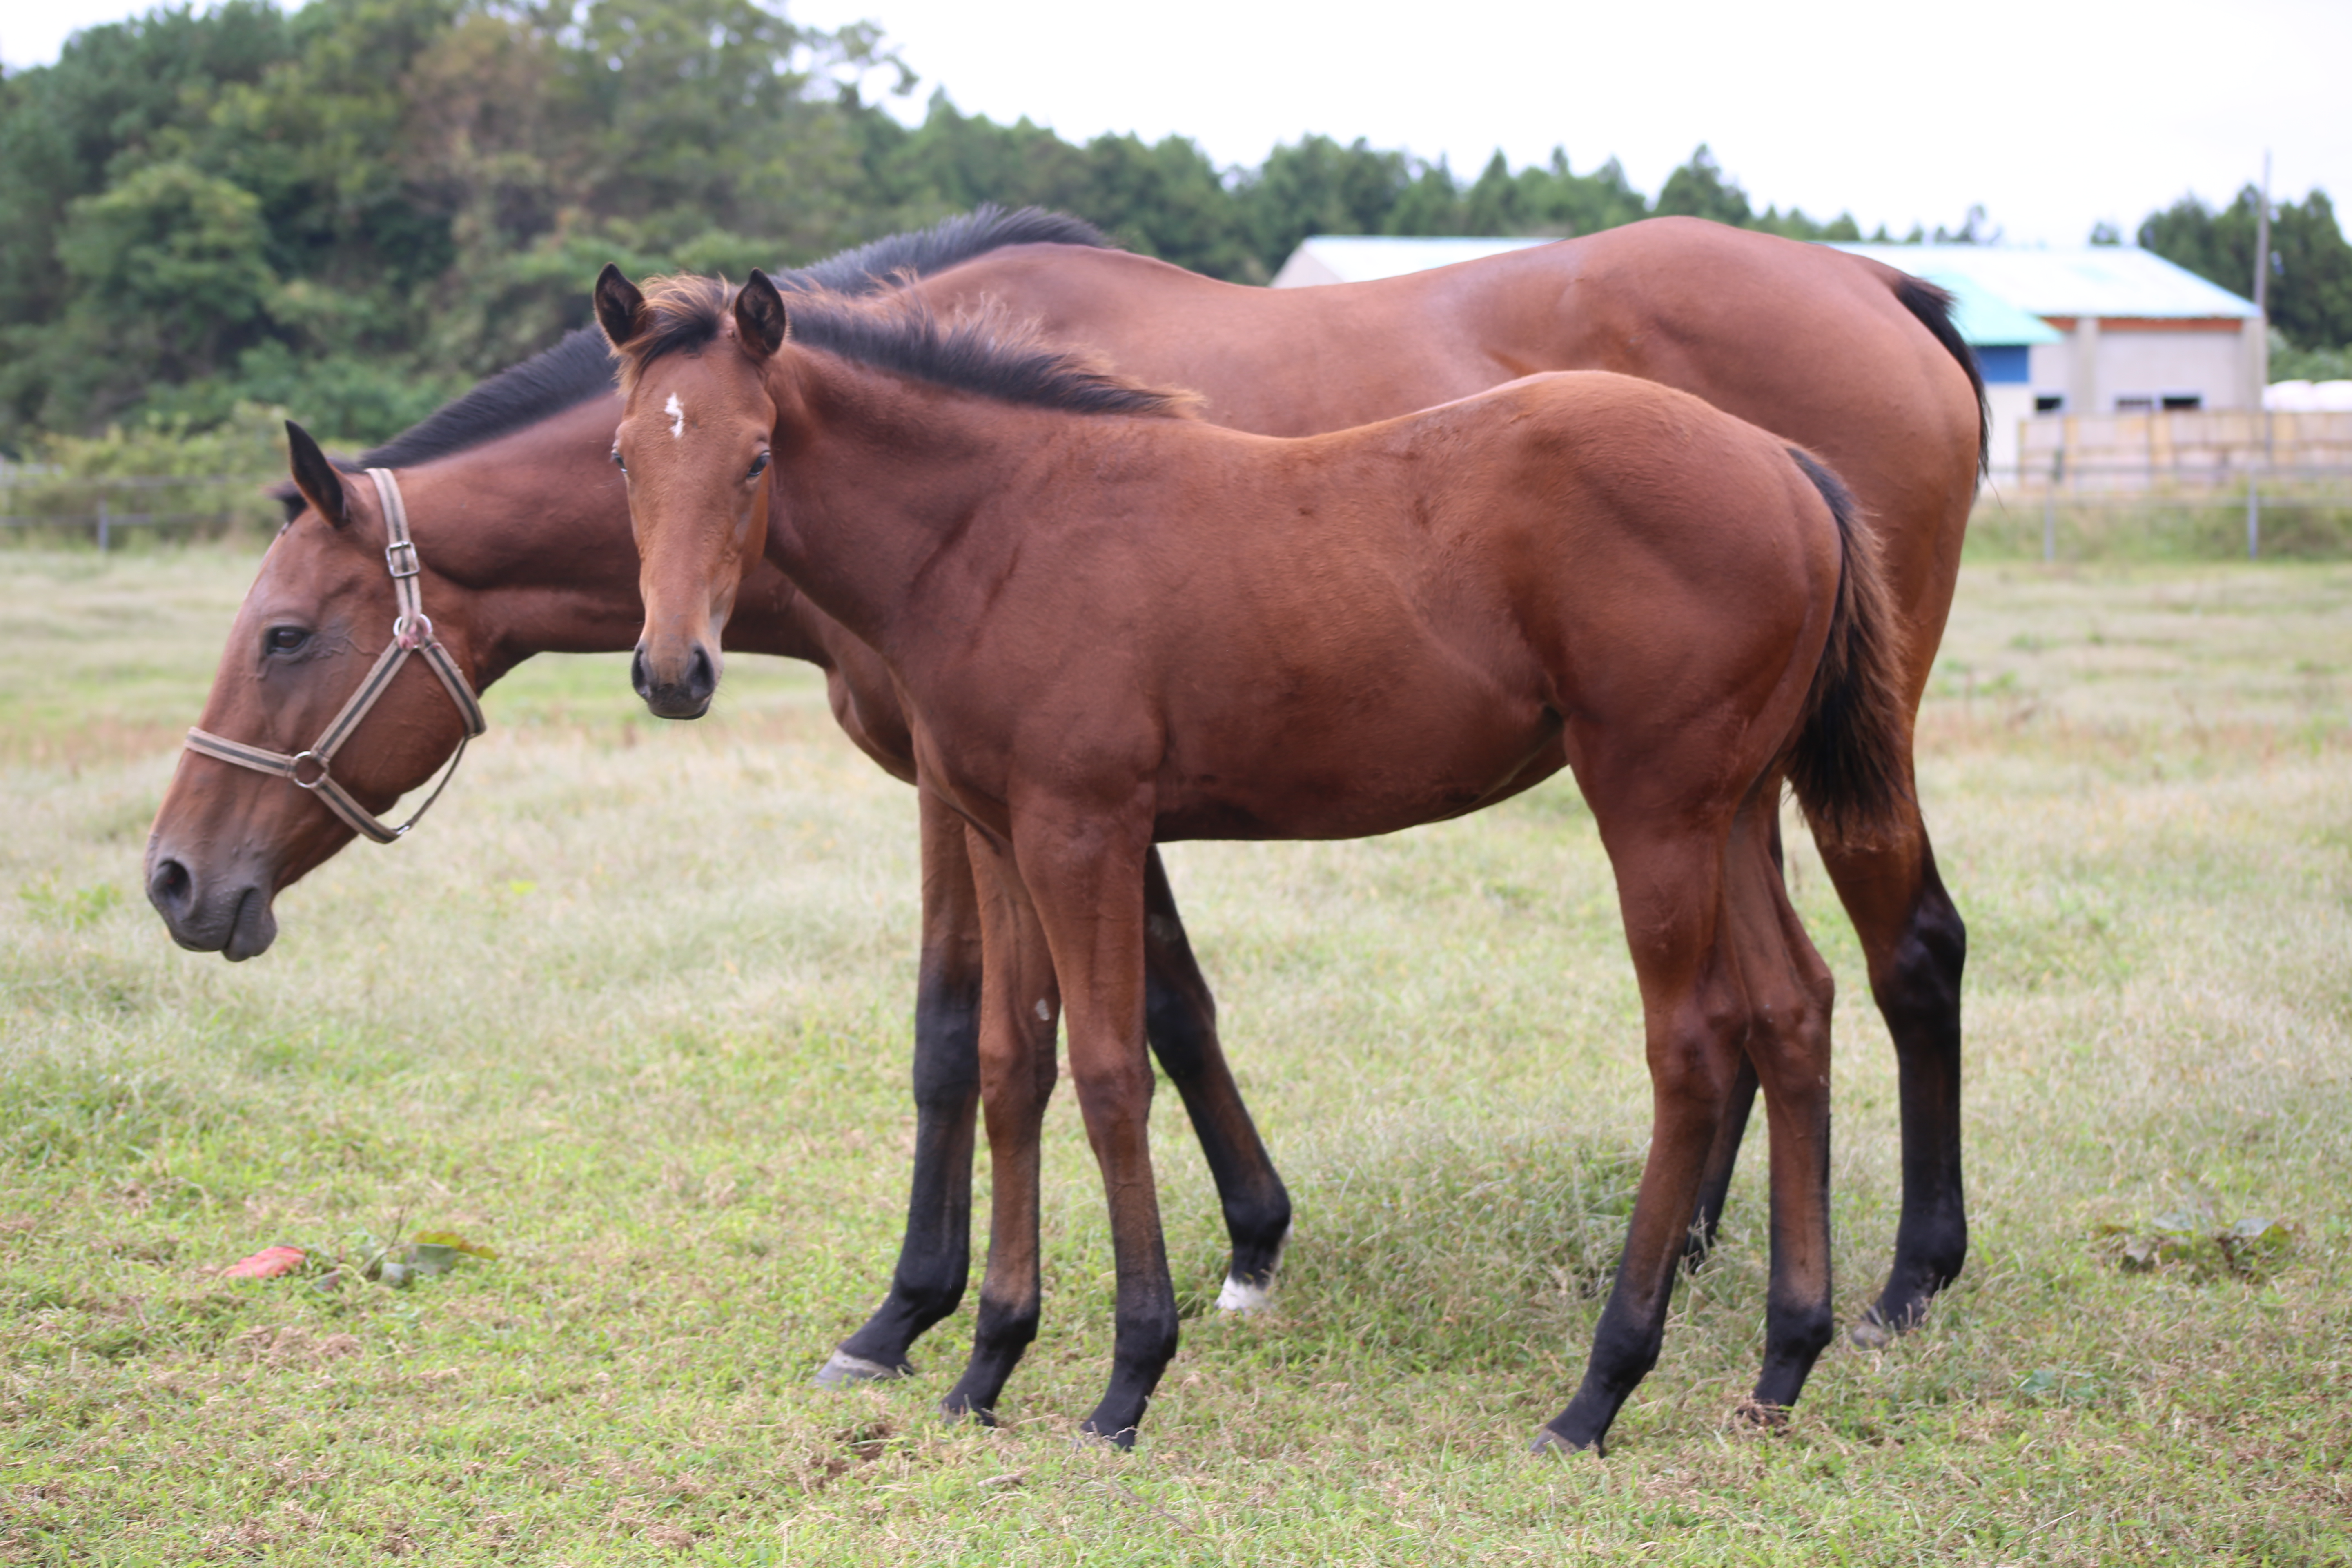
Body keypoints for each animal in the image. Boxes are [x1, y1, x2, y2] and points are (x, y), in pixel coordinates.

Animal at [597, 272, 1919, 1457]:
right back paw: (1780, 1365)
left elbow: (1110, 1073)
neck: (996, 531)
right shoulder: (997, 832)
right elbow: (1010, 1064)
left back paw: (1598, 1392)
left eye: (757, 455)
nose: (673, 670)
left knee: (1692, 1044)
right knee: (1792, 1009)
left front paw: (1126, 1380)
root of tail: (1785, 464)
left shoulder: (1085, 828)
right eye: (622, 458)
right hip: (1733, 806)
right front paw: (983, 1367)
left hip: (1652, 804)